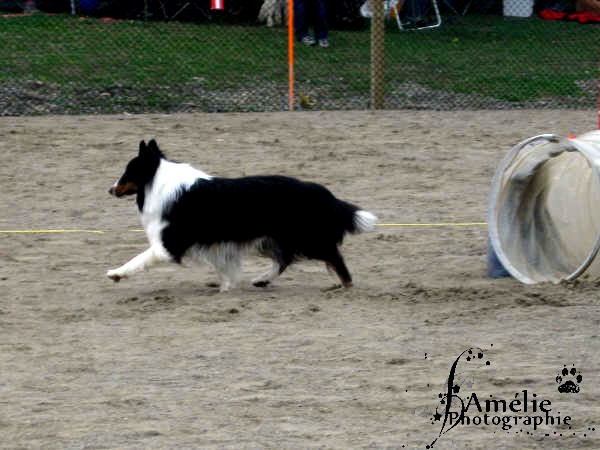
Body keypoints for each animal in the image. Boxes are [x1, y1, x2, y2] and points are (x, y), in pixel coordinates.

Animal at [108, 141, 376, 292]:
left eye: (127, 171)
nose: (110, 189)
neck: (157, 181)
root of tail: (323, 193)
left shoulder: (170, 244)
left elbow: (140, 258)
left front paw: (116, 274)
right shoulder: (213, 243)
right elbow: (223, 266)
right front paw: (227, 286)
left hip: (306, 237)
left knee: (333, 256)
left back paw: (346, 285)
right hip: (273, 238)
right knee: (284, 260)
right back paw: (262, 280)